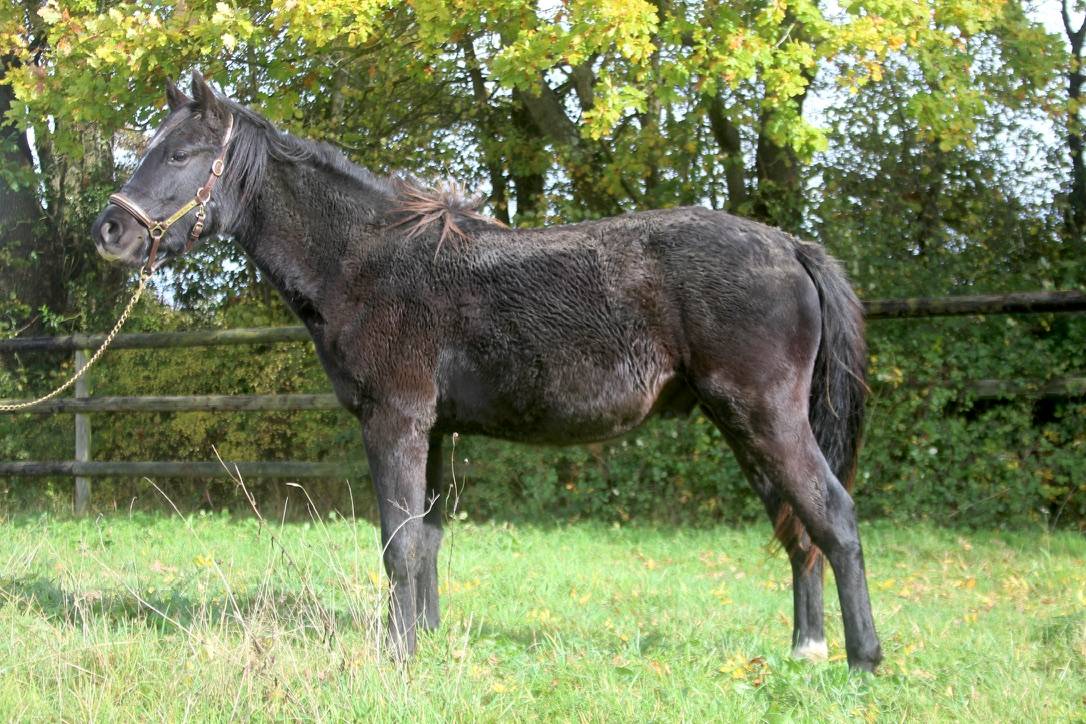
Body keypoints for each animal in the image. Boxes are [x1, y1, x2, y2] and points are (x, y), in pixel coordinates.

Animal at [92, 71, 882, 671]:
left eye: (183, 154)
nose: (111, 231)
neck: (365, 261)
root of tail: (789, 245)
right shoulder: (435, 430)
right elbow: (427, 540)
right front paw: (424, 639)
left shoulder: (394, 422)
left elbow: (398, 544)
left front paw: (398, 656)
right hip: (746, 427)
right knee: (799, 529)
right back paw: (807, 648)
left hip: (766, 419)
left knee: (834, 518)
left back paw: (862, 659)